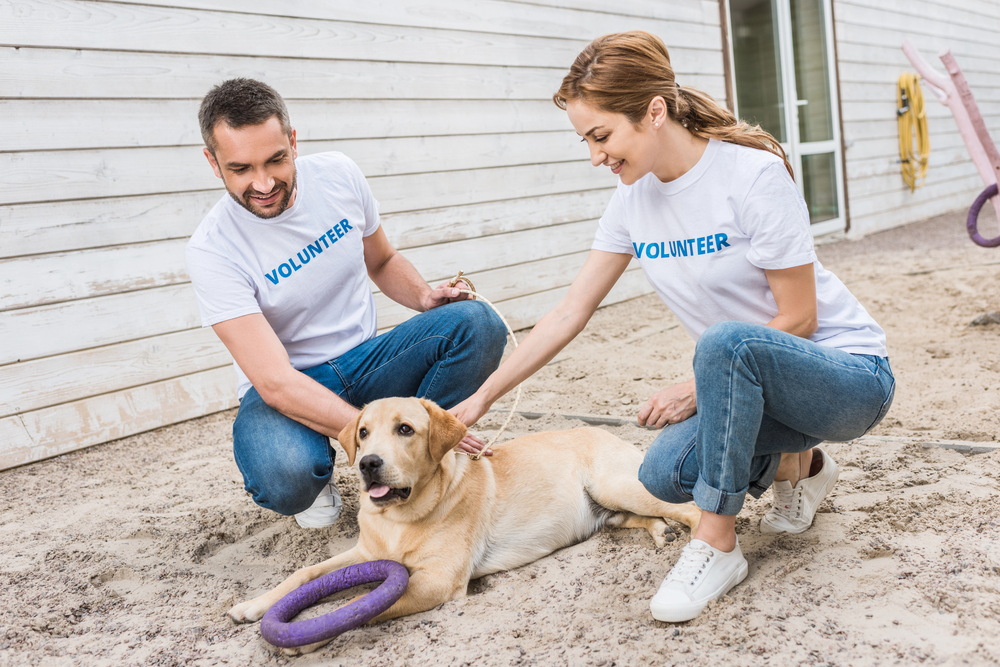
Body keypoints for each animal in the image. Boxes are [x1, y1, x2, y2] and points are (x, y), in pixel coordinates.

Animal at [229, 396, 700, 652]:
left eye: (405, 429)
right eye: (362, 433)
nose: (367, 463)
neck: (401, 517)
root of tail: (601, 431)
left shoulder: (436, 581)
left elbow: (358, 606)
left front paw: (307, 636)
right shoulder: (365, 553)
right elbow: (306, 572)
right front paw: (254, 604)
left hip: (617, 484)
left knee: (692, 509)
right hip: (609, 506)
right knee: (643, 517)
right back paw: (660, 530)